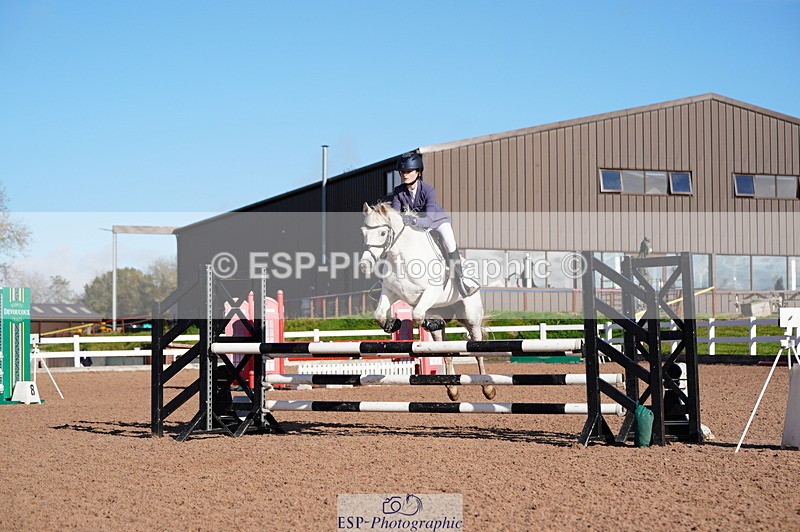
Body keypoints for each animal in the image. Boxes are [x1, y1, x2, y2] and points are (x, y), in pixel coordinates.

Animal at [358, 202, 494, 401]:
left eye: (383, 233)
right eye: (363, 232)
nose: (364, 265)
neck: (402, 257)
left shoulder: (431, 291)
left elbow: (416, 314)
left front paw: (431, 322)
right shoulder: (390, 293)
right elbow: (379, 315)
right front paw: (393, 324)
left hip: (470, 318)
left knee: (478, 351)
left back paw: (488, 388)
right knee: (447, 353)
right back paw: (452, 389)